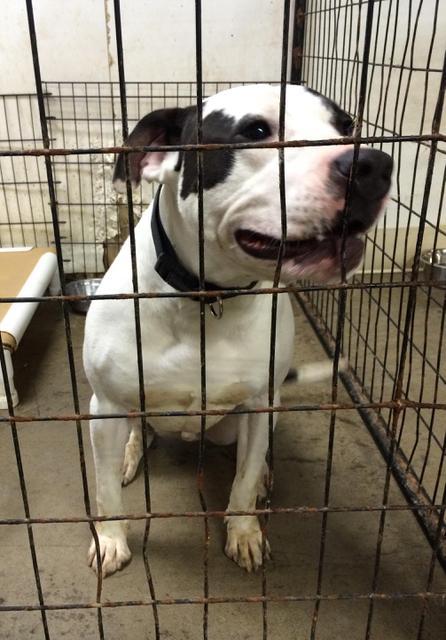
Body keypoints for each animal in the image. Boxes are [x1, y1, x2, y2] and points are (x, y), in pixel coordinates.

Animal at [82, 82, 392, 576]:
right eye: (256, 131)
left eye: (347, 126)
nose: (374, 165)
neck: (206, 299)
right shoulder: (107, 404)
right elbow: (106, 491)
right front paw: (111, 539)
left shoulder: (259, 403)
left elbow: (242, 484)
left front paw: (244, 533)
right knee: (135, 433)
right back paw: (130, 453)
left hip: (253, 416)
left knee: (252, 453)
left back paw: (264, 474)